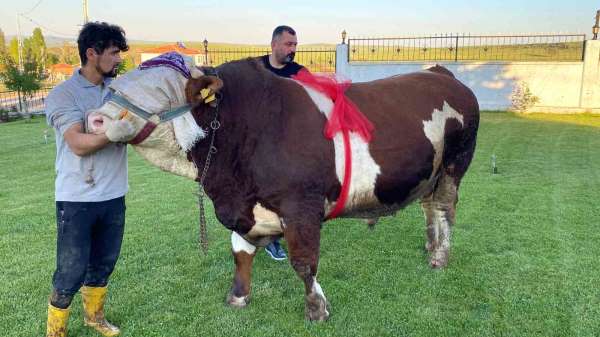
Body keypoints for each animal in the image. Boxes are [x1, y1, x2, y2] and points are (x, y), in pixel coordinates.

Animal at [89, 56, 480, 318]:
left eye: (157, 89)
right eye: (115, 85)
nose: (95, 120)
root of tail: (440, 72)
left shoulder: (301, 207)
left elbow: (304, 263)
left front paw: (317, 308)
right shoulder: (244, 208)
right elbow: (240, 253)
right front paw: (238, 296)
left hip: (454, 165)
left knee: (444, 208)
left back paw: (440, 256)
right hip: (430, 173)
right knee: (429, 206)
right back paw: (430, 245)